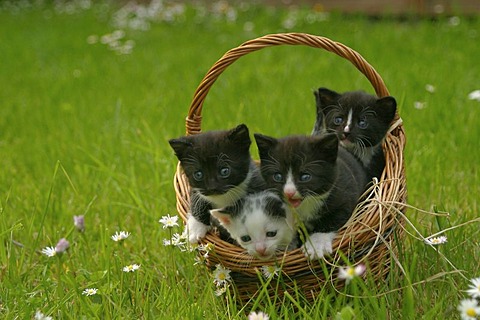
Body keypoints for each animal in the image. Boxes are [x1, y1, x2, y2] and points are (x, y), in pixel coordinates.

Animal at [255, 132, 368, 260]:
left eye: (305, 177)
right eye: (277, 176)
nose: (289, 192)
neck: (305, 205)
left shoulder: (346, 195)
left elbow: (332, 220)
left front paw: (317, 245)